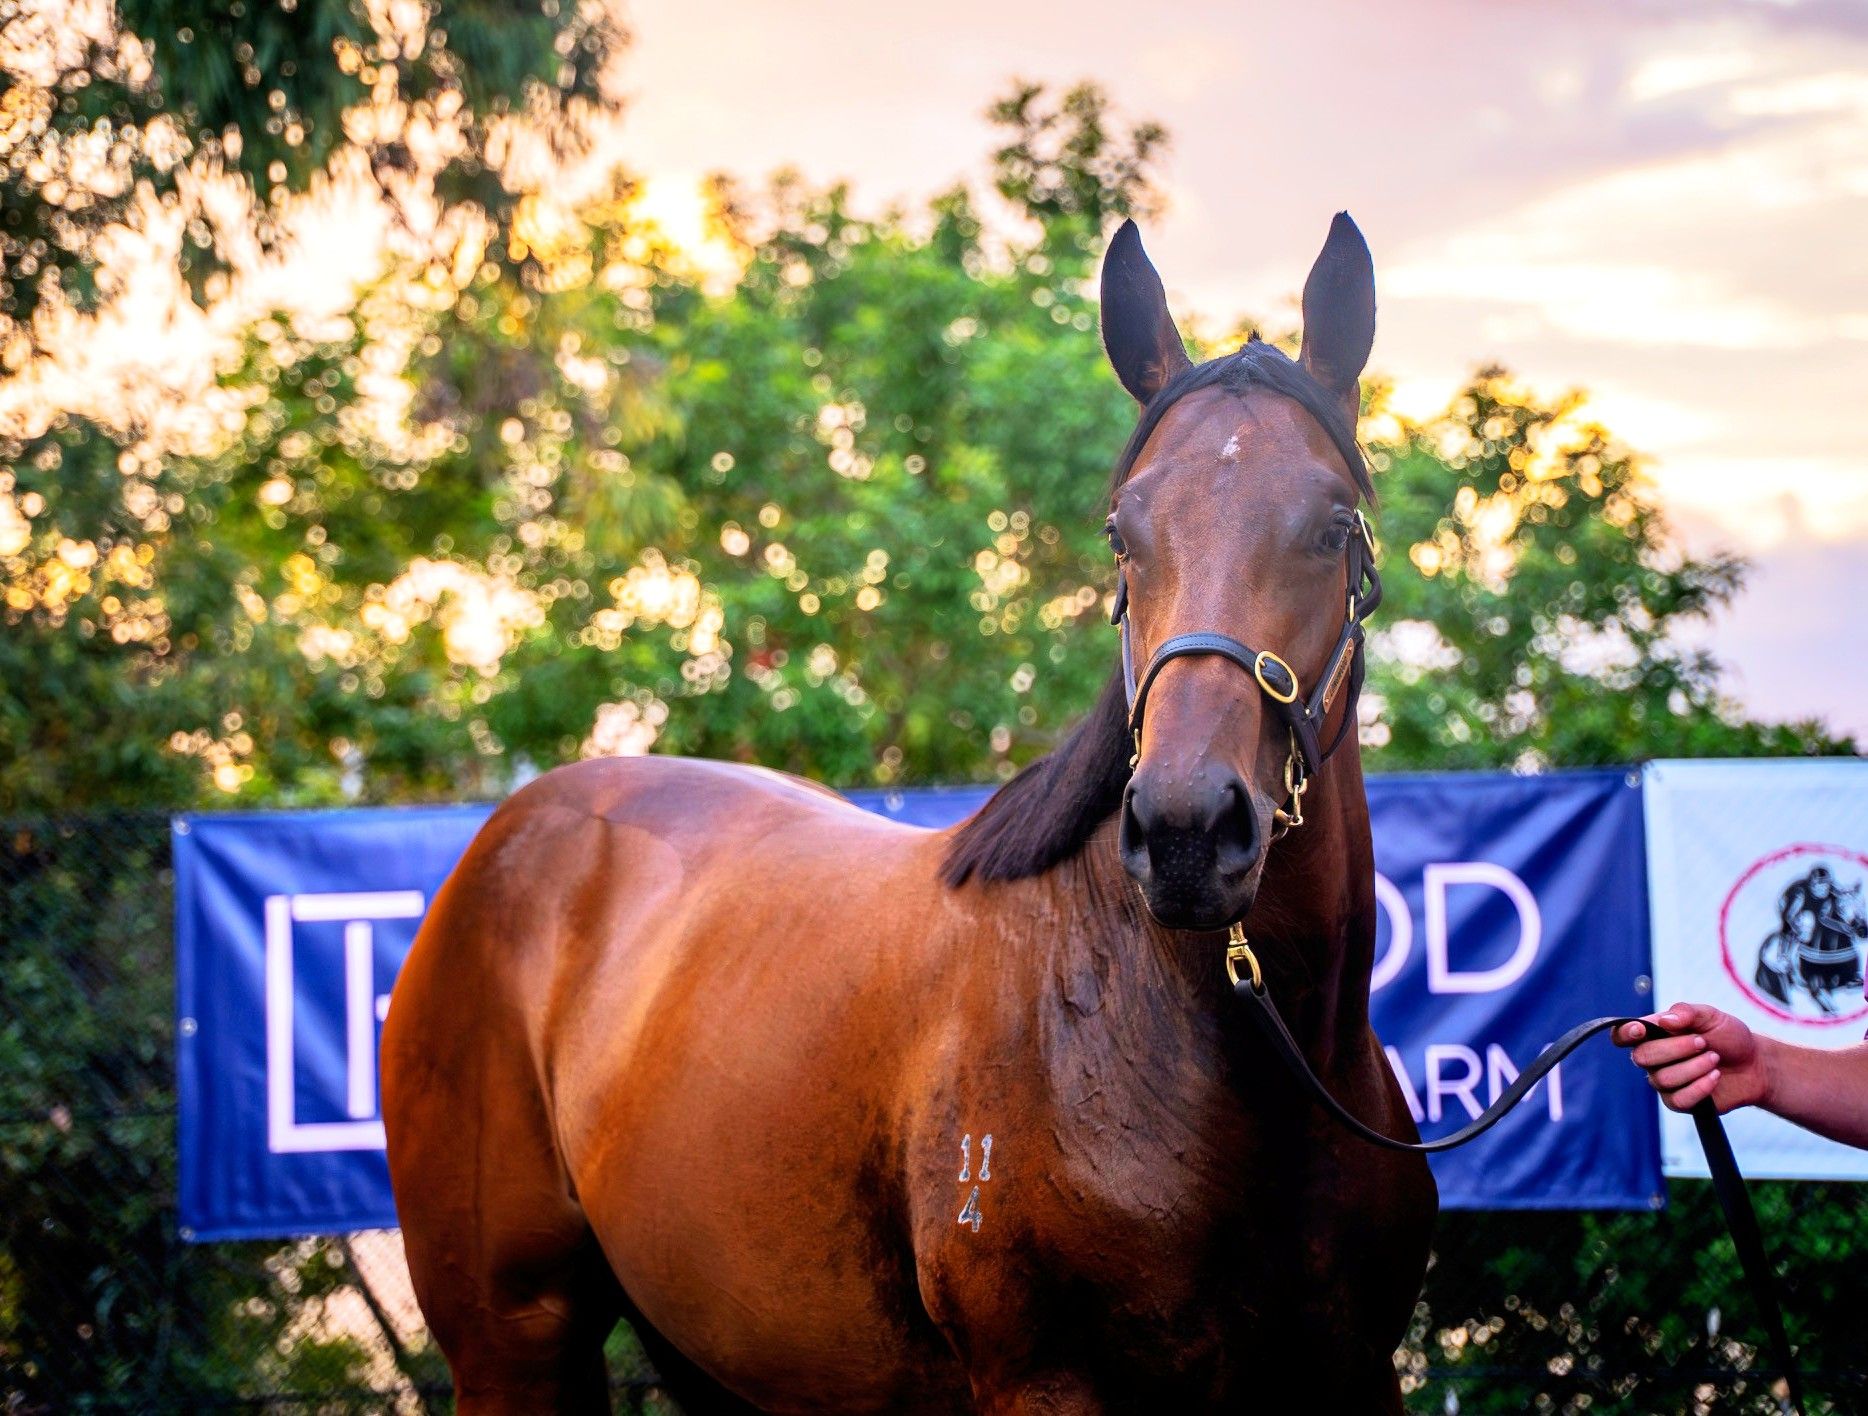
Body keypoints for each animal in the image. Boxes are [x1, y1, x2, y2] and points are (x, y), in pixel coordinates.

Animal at [381, 212, 1437, 1413]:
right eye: (1122, 534)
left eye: (1332, 527)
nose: (1182, 831)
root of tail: (508, 839)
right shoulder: (1043, 1384)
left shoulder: (1353, 1376)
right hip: (511, 1345)